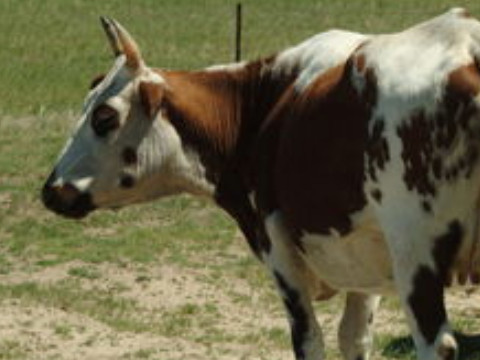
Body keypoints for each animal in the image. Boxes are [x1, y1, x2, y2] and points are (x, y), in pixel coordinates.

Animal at [42, 7, 480, 360]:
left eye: (104, 117)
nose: (51, 189)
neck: (261, 104)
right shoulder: (363, 262)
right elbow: (353, 338)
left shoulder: (278, 249)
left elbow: (309, 341)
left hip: (415, 259)